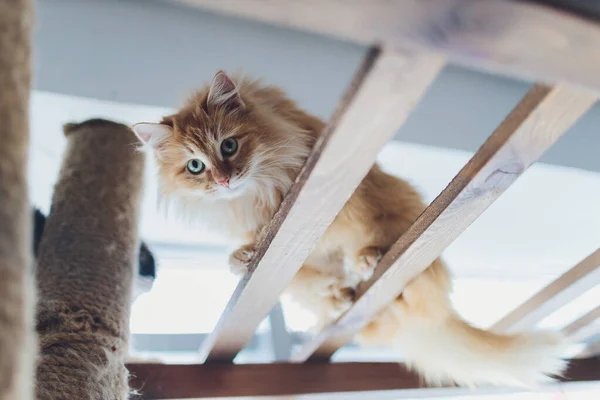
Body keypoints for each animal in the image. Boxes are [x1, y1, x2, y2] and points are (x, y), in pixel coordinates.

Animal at [132, 70, 568, 386]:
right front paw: (243, 257)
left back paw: (366, 263)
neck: (255, 193)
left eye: (228, 146)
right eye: (194, 167)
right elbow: (246, 250)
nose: (224, 180)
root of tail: (437, 313)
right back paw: (340, 296)